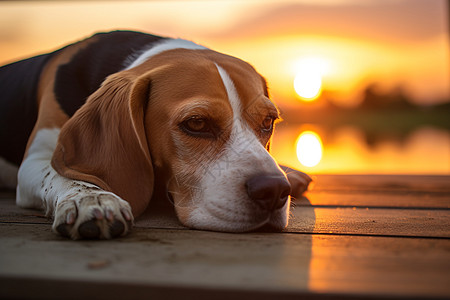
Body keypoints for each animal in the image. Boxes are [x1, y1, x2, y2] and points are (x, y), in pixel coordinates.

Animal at [0, 29, 310, 238]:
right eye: (197, 124)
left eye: (268, 121)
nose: (274, 190)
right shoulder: (34, 162)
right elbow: (60, 175)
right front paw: (90, 200)